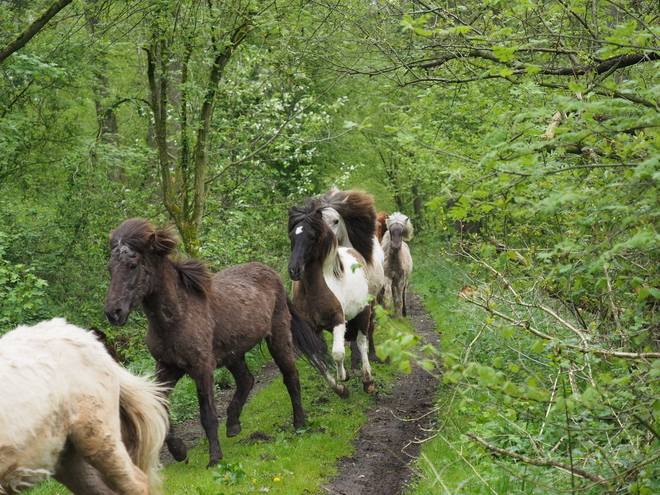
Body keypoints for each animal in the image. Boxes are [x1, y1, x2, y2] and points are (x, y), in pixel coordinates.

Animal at [104, 218, 336, 468]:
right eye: (110, 268)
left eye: (133, 265)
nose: (113, 313)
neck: (177, 316)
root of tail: (271, 273)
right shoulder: (167, 367)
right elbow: (159, 406)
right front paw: (179, 451)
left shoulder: (202, 368)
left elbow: (207, 415)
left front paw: (214, 459)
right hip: (233, 354)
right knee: (246, 380)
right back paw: (233, 424)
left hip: (279, 338)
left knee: (290, 377)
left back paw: (299, 424)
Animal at [288, 200, 376, 398]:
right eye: (291, 237)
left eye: (312, 237)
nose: (294, 270)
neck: (313, 292)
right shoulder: (312, 328)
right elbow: (319, 361)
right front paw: (340, 389)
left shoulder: (338, 321)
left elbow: (337, 353)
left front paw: (344, 376)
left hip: (363, 314)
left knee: (362, 343)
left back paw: (368, 382)